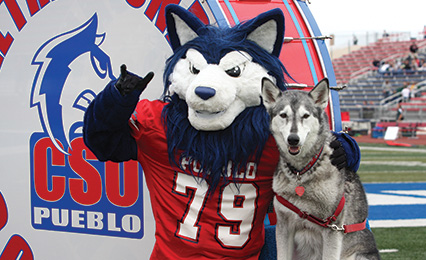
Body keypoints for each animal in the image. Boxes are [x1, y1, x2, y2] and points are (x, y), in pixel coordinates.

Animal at [262, 78, 382, 260]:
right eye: (283, 115)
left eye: (305, 115)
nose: (293, 139)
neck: (301, 172)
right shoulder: (284, 226)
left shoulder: (332, 229)